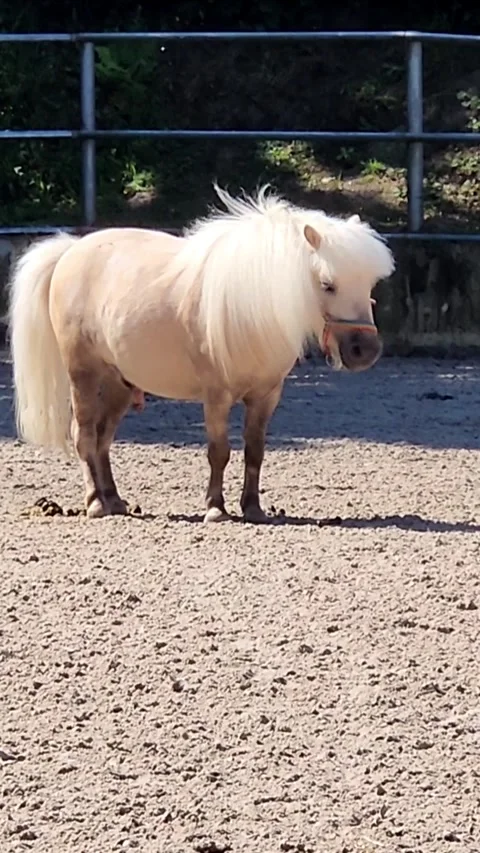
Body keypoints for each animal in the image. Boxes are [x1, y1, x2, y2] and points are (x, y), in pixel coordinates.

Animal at [8, 184, 395, 523]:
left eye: (370, 284)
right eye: (327, 285)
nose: (364, 350)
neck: (254, 307)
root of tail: (70, 251)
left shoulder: (266, 395)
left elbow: (255, 450)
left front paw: (253, 509)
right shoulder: (217, 396)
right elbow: (219, 451)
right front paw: (215, 509)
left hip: (119, 384)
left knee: (103, 439)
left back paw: (115, 500)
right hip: (84, 375)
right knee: (85, 435)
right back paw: (96, 503)